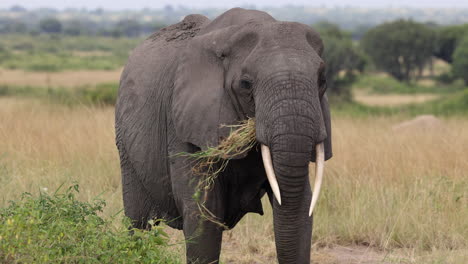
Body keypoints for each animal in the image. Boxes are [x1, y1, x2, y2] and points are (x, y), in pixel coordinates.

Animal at [114, 7, 330, 264]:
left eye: (323, 80)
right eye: (246, 84)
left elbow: (300, 207)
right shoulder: (183, 120)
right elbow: (204, 211)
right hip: (125, 145)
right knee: (137, 223)